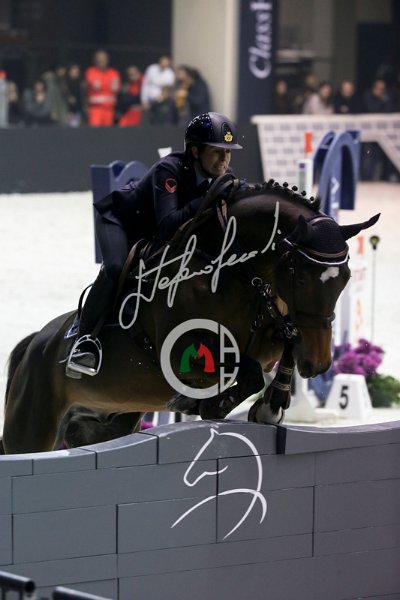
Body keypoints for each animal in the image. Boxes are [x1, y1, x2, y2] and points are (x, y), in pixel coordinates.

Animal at [2, 181, 379, 453]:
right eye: (300, 278)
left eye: (345, 278)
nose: (318, 364)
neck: (231, 271)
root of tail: (34, 343)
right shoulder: (179, 351)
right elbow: (246, 371)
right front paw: (207, 403)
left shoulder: (271, 335)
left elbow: (279, 348)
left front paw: (271, 406)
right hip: (32, 426)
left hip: (103, 424)